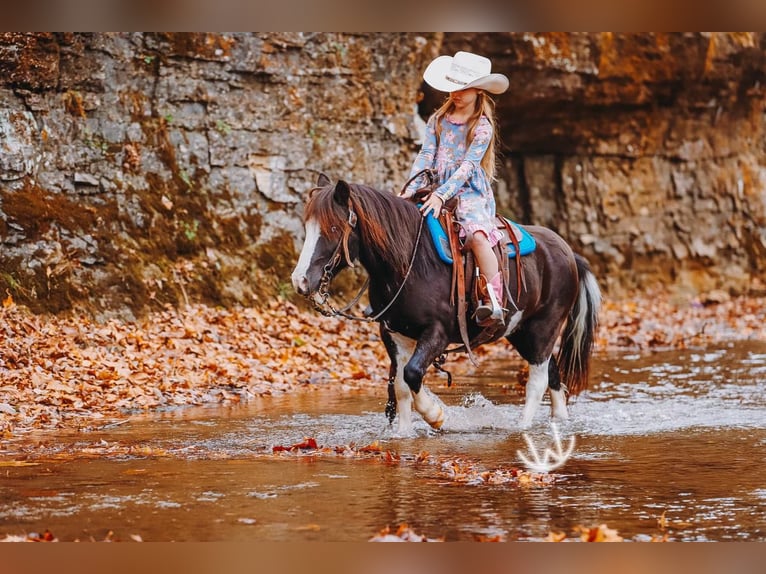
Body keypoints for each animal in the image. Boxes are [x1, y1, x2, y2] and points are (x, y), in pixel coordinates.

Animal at [291, 174, 602, 434]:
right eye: (307, 226)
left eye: (334, 227)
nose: (300, 281)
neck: (410, 263)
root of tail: (568, 252)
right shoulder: (394, 334)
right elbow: (400, 387)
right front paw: (403, 434)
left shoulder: (437, 333)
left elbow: (412, 374)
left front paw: (436, 415)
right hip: (522, 332)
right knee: (553, 374)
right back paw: (559, 422)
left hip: (544, 327)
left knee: (537, 382)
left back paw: (520, 428)